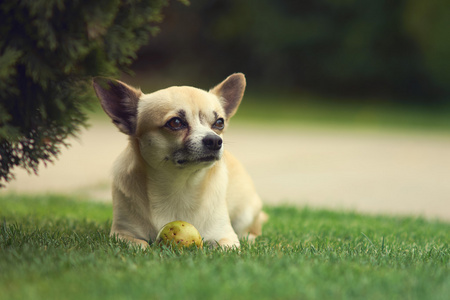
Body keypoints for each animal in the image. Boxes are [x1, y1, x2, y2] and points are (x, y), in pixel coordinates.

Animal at [92, 73, 266, 248]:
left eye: (219, 123)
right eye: (175, 122)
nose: (215, 140)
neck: (180, 186)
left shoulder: (226, 236)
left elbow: (226, 247)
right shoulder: (121, 234)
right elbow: (141, 245)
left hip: (246, 214)